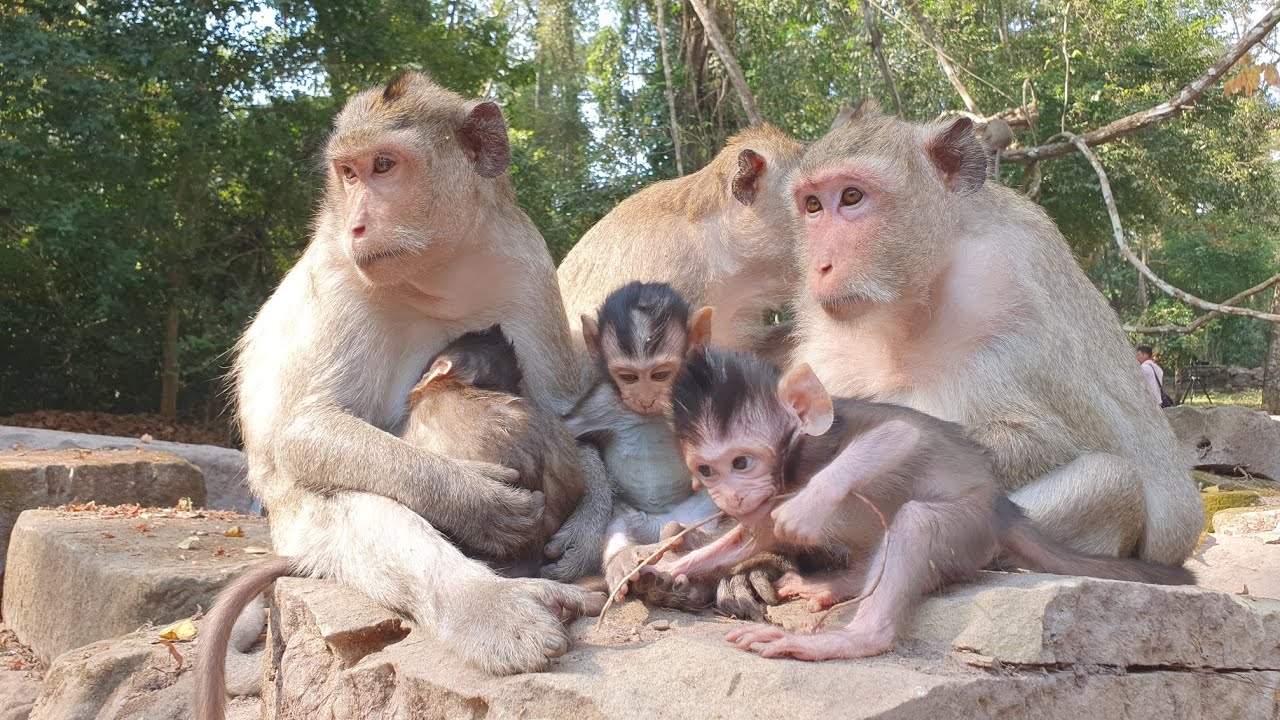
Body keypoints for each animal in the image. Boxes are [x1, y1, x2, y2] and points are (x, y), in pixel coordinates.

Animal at [638, 348, 1193, 661]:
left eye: (742, 462)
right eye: (706, 470)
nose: (727, 495)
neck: (790, 467)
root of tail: (1003, 508)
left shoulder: (814, 448)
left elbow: (900, 435)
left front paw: (805, 507)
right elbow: (748, 537)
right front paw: (670, 567)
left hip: (972, 531)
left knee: (917, 522)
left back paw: (855, 637)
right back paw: (841, 584)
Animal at [786, 102, 1204, 568]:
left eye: (852, 197)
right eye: (813, 205)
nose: (820, 265)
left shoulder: (1004, 282)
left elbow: (1041, 440)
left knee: (1112, 481)